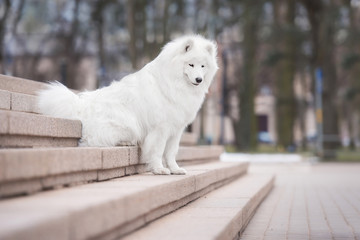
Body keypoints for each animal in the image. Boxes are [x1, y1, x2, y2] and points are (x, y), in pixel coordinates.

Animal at [37, 34, 217, 175]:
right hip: (128, 123)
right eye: (191, 64)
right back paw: (123, 142)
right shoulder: (160, 128)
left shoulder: (176, 129)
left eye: (203, 66)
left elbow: (171, 153)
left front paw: (175, 169)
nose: (199, 79)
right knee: (92, 141)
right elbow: (158, 151)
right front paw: (159, 169)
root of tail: (81, 106)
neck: (174, 82)